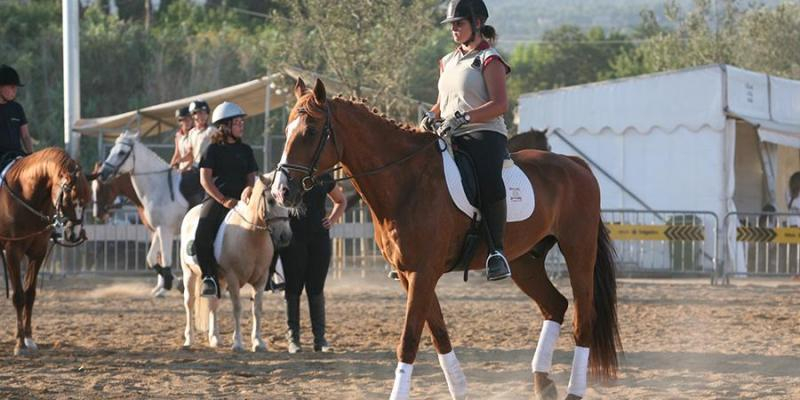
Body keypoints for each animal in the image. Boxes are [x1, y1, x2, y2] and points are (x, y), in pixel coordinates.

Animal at [0, 148, 90, 354]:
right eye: (70, 198)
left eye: (87, 201)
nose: (74, 234)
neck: (27, 197)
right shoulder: (13, 252)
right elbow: (18, 296)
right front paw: (19, 343)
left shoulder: (38, 252)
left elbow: (30, 294)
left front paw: (28, 339)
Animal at [97, 132, 188, 294]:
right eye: (112, 150)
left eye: (121, 152)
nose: (103, 173)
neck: (159, 186)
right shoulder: (157, 229)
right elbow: (151, 259)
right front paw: (175, 283)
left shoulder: (166, 230)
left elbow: (165, 258)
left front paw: (167, 286)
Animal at [182, 173, 294, 352]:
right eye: (270, 200)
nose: (285, 237)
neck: (250, 234)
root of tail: (191, 212)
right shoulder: (233, 278)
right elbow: (237, 308)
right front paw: (238, 343)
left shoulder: (261, 279)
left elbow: (257, 309)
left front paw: (258, 342)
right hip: (189, 273)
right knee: (189, 302)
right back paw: (189, 340)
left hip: (218, 279)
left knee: (213, 303)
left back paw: (215, 338)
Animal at [272, 79, 620, 400]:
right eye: (287, 130)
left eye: (311, 131)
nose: (281, 191)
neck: (405, 181)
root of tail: (576, 164)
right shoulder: (409, 275)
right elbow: (438, 334)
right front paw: (460, 391)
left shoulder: (423, 273)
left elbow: (409, 341)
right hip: (525, 262)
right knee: (555, 306)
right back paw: (543, 384)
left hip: (578, 251)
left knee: (583, 318)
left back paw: (573, 391)